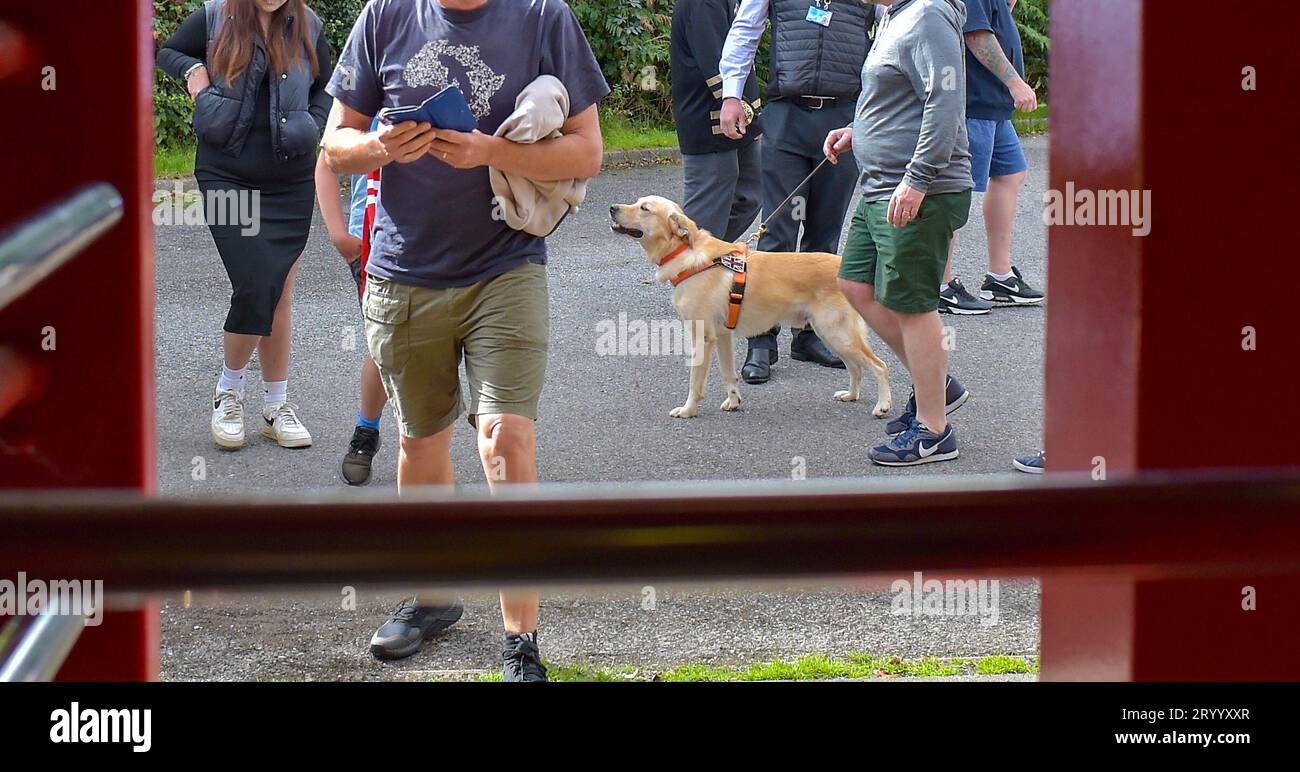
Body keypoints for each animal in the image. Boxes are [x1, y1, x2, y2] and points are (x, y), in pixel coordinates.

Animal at [613, 194, 889, 418]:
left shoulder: (702, 336)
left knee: (879, 366)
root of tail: (842, 266)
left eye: (645, 208)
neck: (687, 254)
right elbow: (728, 374)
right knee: (856, 368)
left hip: (837, 333)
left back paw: (883, 406)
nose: (612, 208)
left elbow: (695, 382)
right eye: (637, 202)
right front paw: (733, 402)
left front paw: (688, 410)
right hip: (831, 334)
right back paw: (851, 395)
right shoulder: (722, 336)